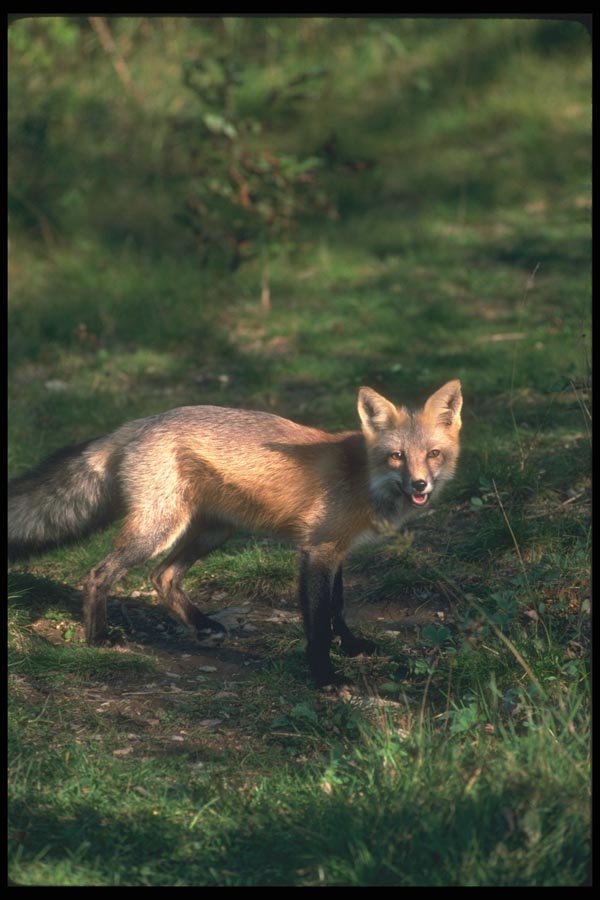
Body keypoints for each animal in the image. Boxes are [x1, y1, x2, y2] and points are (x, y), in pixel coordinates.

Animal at [8, 380, 462, 686]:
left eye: (433, 454)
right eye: (397, 456)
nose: (420, 485)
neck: (364, 476)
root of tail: (141, 422)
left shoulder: (337, 552)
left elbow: (337, 610)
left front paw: (350, 648)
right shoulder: (316, 552)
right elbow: (318, 623)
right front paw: (324, 677)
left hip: (213, 533)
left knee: (162, 576)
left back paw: (201, 624)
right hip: (157, 529)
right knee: (98, 575)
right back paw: (99, 637)